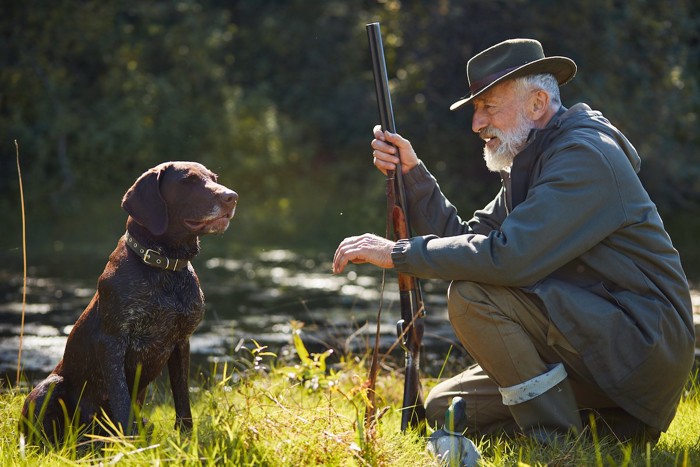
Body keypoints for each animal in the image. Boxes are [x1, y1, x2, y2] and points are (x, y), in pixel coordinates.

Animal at [19, 161, 238, 442]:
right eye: (187, 181)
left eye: (214, 178)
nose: (231, 197)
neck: (164, 267)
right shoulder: (112, 342)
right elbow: (121, 400)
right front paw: (128, 443)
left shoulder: (181, 342)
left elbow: (183, 400)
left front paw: (186, 438)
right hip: (49, 387)